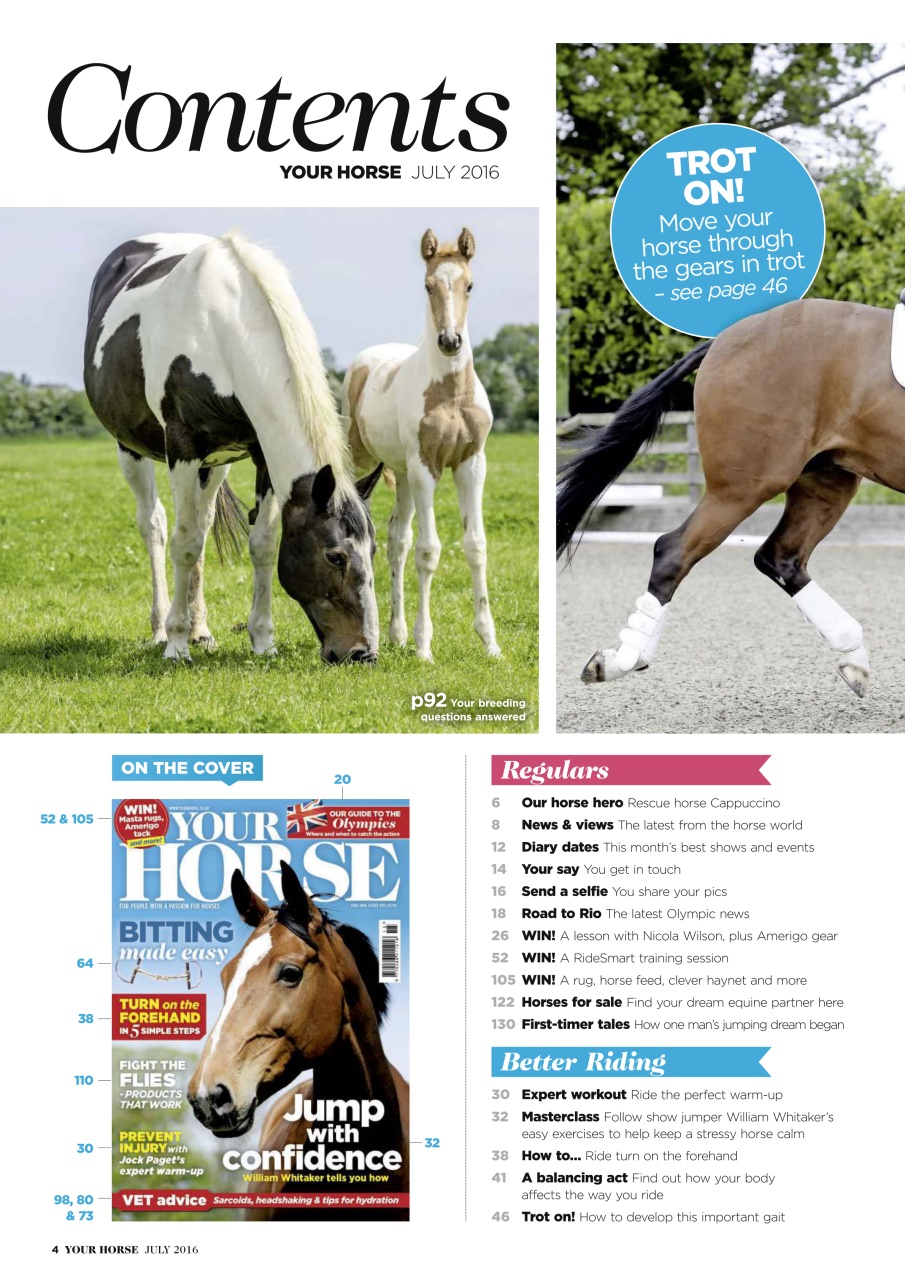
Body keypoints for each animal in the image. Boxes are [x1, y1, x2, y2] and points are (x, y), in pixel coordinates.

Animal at [84, 232, 383, 665]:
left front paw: (262, 640)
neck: (223, 329)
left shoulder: (261, 454)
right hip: (131, 450)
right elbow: (184, 543)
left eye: (373, 550)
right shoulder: (182, 449)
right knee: (155, 526)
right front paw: (176, 645)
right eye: (335, 556)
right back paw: (161, 629)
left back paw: (201, 631)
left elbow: (261, 544)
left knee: (204, 524)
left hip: (216, 464)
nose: (363, 652)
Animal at [341, 227, 500, 661]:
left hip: (401, 473)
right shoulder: (426, 467)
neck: (451, 394)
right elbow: (429, 551)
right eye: (428, 285)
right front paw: (425, 646)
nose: (450, 341)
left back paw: (395, 634)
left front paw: (490, 642)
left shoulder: (471, 464)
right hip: (364, 463)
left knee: (397, 541)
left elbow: (475, 545)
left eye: (470, 285)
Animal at [557, 297, 905, 699]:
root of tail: (722, 340)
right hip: (745, 486)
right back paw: (621, 661)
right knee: (673, 552)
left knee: (780, 557)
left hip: (825, 480)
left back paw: (854, 660)